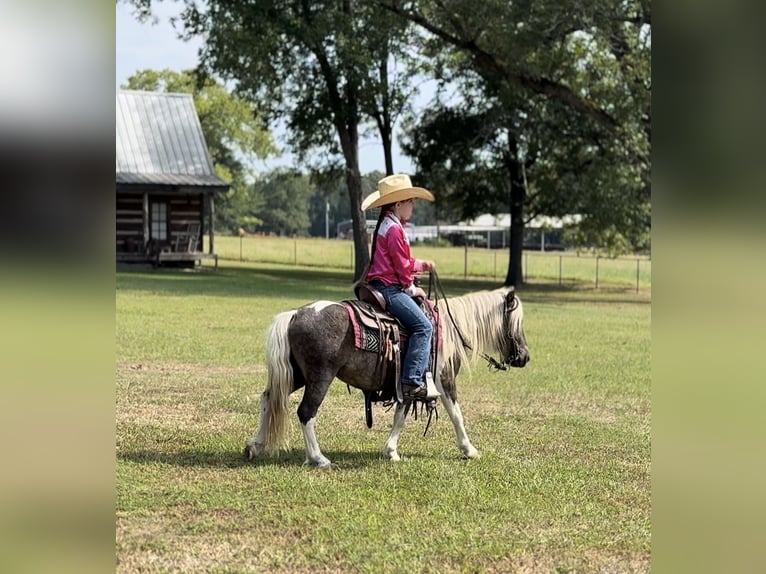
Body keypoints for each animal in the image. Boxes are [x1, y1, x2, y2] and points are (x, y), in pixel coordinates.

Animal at [244, 285, 530, 467]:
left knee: (268, 398)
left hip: (297, 375)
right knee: (306, 412)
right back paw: (318, 458)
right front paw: (469, 450)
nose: (524, 357)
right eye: (516, 323)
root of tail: (294, 315)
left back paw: (255, 446)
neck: (448, 328)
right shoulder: (443, 379)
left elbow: (400, 415)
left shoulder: (408, 383)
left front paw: (391, 451)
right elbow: (456, 414)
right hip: (320, 377)